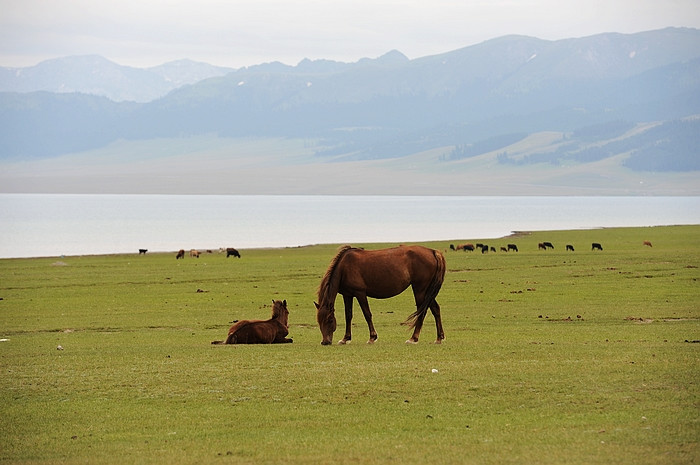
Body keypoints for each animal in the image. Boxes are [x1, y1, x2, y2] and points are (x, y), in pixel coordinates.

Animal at [314, 245, 446, 342]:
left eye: (330, 320)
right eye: (319, 321)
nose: (325, 342)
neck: (344, 267)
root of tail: (433, 252)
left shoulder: (360, 293)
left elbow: (367, 314)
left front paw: (372, 337)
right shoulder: (348, 295)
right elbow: (348, 315)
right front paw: (346, 339)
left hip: (420, 290)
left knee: (422, 311)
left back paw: (414, 338)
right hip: (427, 292)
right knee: (435, 309)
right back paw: (439, 338)